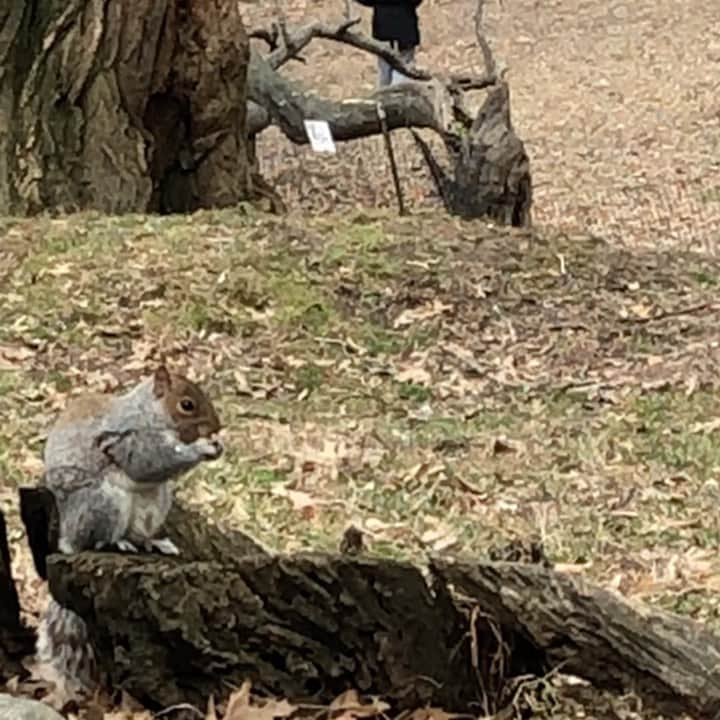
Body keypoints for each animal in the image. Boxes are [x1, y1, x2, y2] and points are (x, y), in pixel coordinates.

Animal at [33, 366, 224, 696]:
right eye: (187, 405)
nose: (217, 427)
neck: (149, 413)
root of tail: (68, 538)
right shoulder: (125, 441)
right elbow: (148, 461)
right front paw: (200, 449)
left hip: (156, 503)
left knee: (141, 533)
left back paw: (153, 543)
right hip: (104, 503)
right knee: (96, 539)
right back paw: (118, 542)